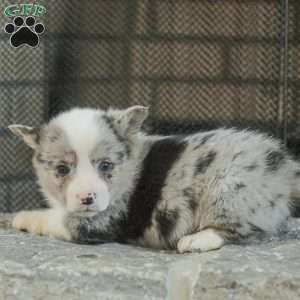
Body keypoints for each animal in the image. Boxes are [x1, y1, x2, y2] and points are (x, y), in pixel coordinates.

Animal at [7, 106, 300, 252]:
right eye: (62, 169)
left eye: (106, 165)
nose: (87, 199)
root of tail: (286, 168)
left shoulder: (99, 221)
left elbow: (53, 218)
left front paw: (20, 217)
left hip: (230, 190)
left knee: (240, 230)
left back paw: (196, 241)